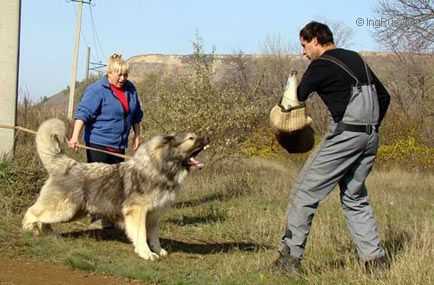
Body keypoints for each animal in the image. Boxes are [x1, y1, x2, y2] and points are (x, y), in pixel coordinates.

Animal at [22, 117, 209, 260]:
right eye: (191, 138)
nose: (208, 138)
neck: (161, 168)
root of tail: (68, 164)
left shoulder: (154, 215)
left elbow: (153, 237)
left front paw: (157, 250)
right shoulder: (137, 212)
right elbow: (141, 234)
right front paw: (146, 253)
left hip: (73, 211)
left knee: (43, 220)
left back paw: (46, 233)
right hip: (64, 209)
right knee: (32, 213)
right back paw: (28, 228)